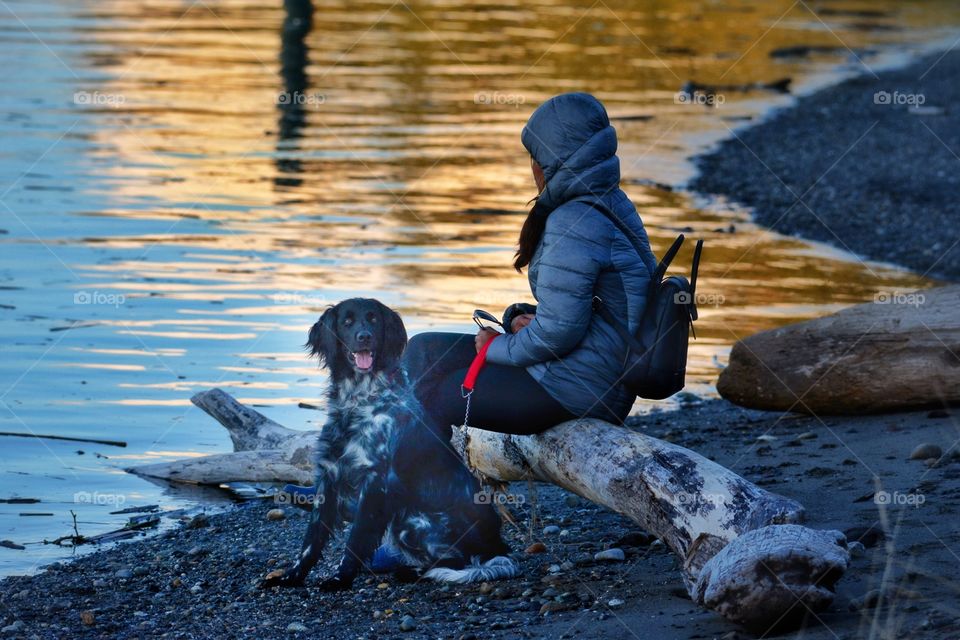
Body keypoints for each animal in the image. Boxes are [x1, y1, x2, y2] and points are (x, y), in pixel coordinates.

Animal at [262, 296, 516, 592]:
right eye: (347, 321)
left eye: (373, 319)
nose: (364, 337)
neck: (358, 400)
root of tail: (497, 546)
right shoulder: (330, 474)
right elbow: (311, 540)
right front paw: (292, 576)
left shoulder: (375, 481)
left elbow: (356, 538)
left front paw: (340, 579)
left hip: (411, 521)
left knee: (457, 561)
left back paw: (412, 572)